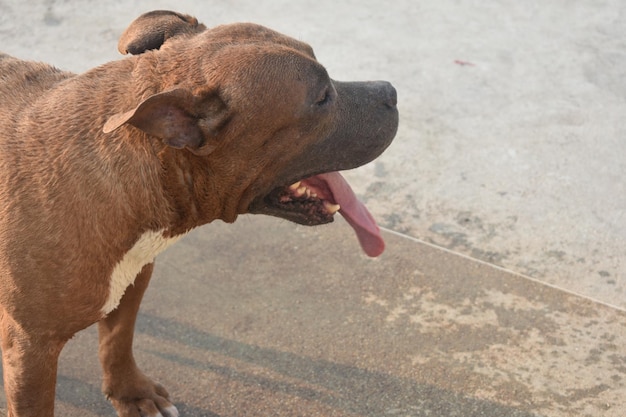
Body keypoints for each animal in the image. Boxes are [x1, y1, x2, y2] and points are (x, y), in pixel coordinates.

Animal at [0, 10, 398, 416]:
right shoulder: (31, 349)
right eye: (322, 98)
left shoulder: (135, 278)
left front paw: (131, 393)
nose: (391, 92)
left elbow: (118, 340)